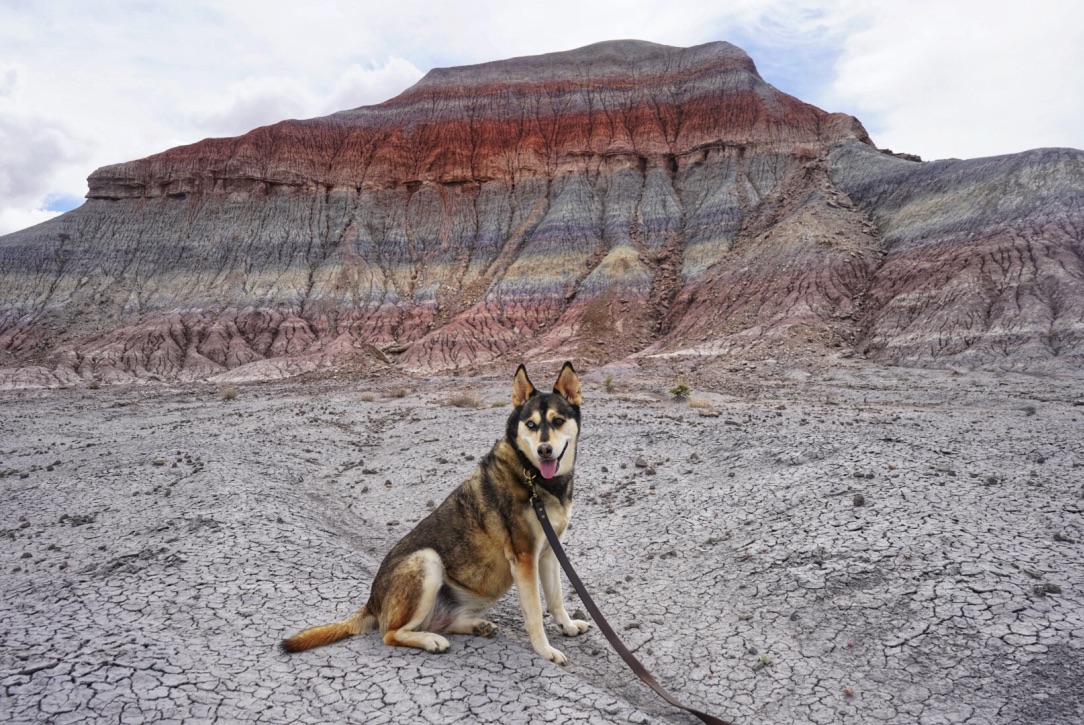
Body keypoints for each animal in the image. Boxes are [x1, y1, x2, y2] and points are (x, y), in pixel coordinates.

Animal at [275, 359, 589, 663]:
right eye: (531, 424)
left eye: (558, 421)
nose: (544, 450)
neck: (533, 476)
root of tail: (372, 602)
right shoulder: (524, 558)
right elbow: (535, 613)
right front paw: (545, 650)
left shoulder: (549, 552)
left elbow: (556, 599)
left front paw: (568, 625)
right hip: (426, 561)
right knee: (391, 633)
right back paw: (431, 641)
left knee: (438, 622)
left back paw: (476, 625)